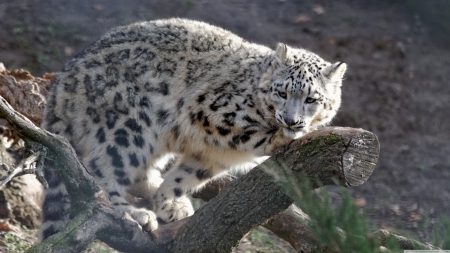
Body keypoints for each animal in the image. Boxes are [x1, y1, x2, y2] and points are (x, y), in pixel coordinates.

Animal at [39, 17, 348, 239]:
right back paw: (132, 214)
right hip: (128, 127)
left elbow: (187, 176)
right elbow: (249, 133)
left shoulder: (214, 155)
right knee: (103, 169)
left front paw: (168, 201)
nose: (291, 120)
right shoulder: (213, 113)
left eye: (311, 99)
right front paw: (280, 137)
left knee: (139, 173)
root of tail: (62, 82)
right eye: (282, 92)